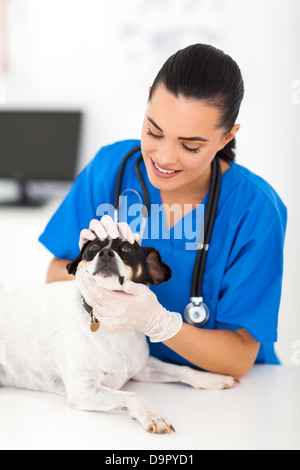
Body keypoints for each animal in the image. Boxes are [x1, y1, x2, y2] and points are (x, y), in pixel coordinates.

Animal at [0, 239, 236, 434]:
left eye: (127, 249)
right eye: (93, 248)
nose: (105, 253)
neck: (114, 328)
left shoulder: (142, 368)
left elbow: (184, 370)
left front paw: (211, 378)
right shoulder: (82, 389)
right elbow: (133, 395)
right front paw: (152, 415)